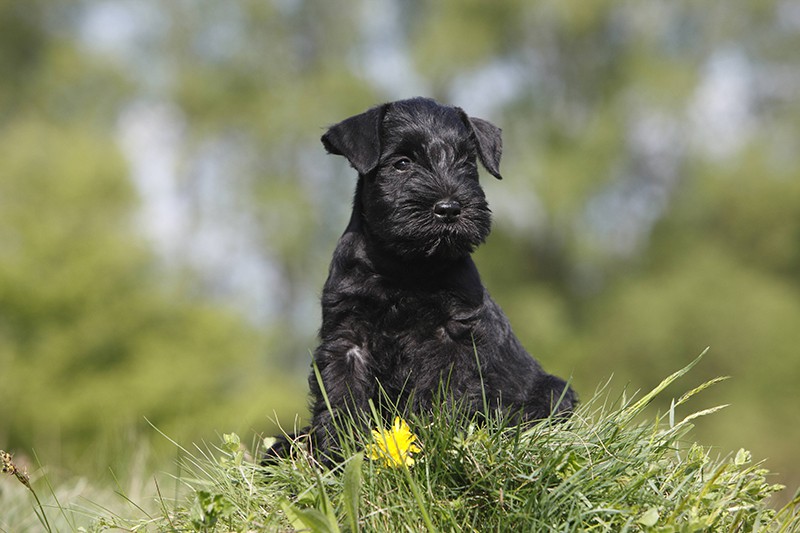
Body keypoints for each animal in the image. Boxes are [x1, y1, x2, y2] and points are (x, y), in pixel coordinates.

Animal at [268, 96, 576, 462]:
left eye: (466, 161)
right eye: (402, 163)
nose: (449, 208)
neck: (405, 266)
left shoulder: (453, 336)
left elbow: (440, 394)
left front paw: (431, 439)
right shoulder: (347, 339)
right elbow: (341, 396)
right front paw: (341, 452)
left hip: (553, 391)